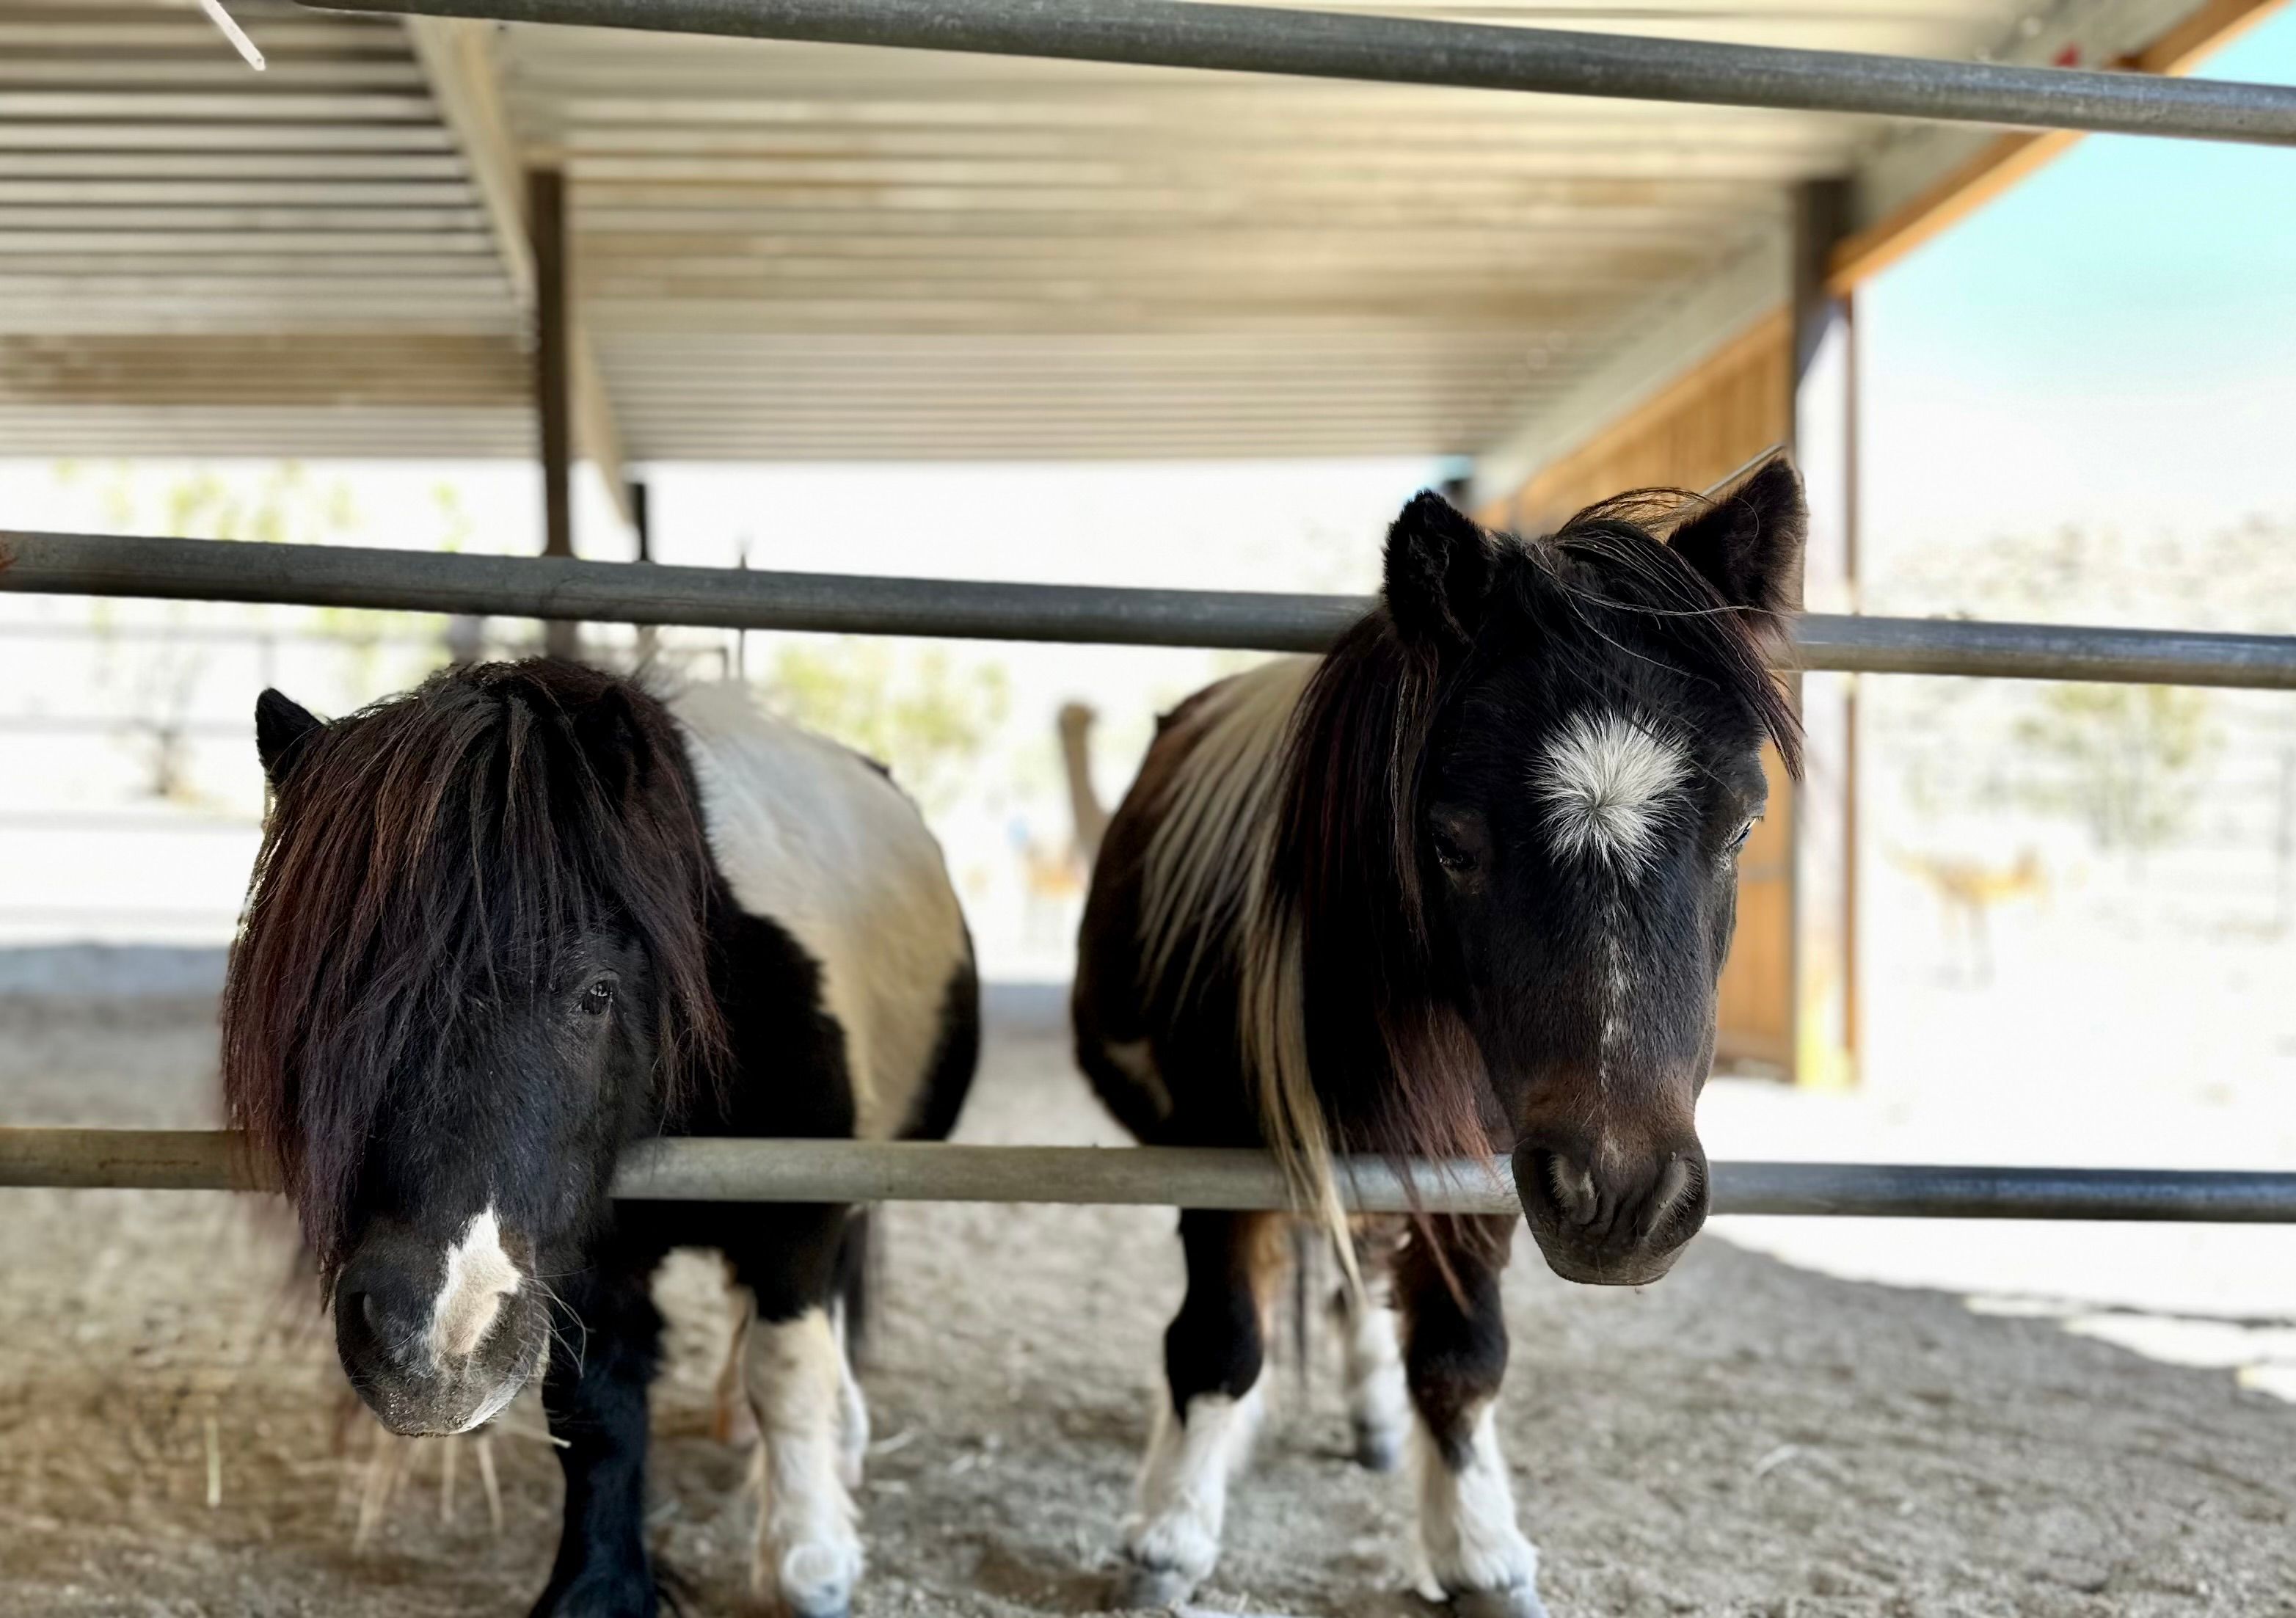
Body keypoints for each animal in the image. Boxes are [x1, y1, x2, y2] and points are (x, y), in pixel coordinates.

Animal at [221, 659, 978, 1618]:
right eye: (325, 1004)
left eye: (595, 993)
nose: (426, 1348)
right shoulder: (586, 1251)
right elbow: (598, 1405)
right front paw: (597, 1586)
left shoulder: (801, 1211)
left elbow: (788, 1369)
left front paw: (812, 1561)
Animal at [1072, 459, 1806, 1616]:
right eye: (1451, 842)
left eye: (1739, 827)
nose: (1628, 1200)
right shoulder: (1218, 1156)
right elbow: (1221, 1340)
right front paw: (1171, 1534)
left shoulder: (1485, 1167)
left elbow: (1461, 1356)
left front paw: (1476, 1545)